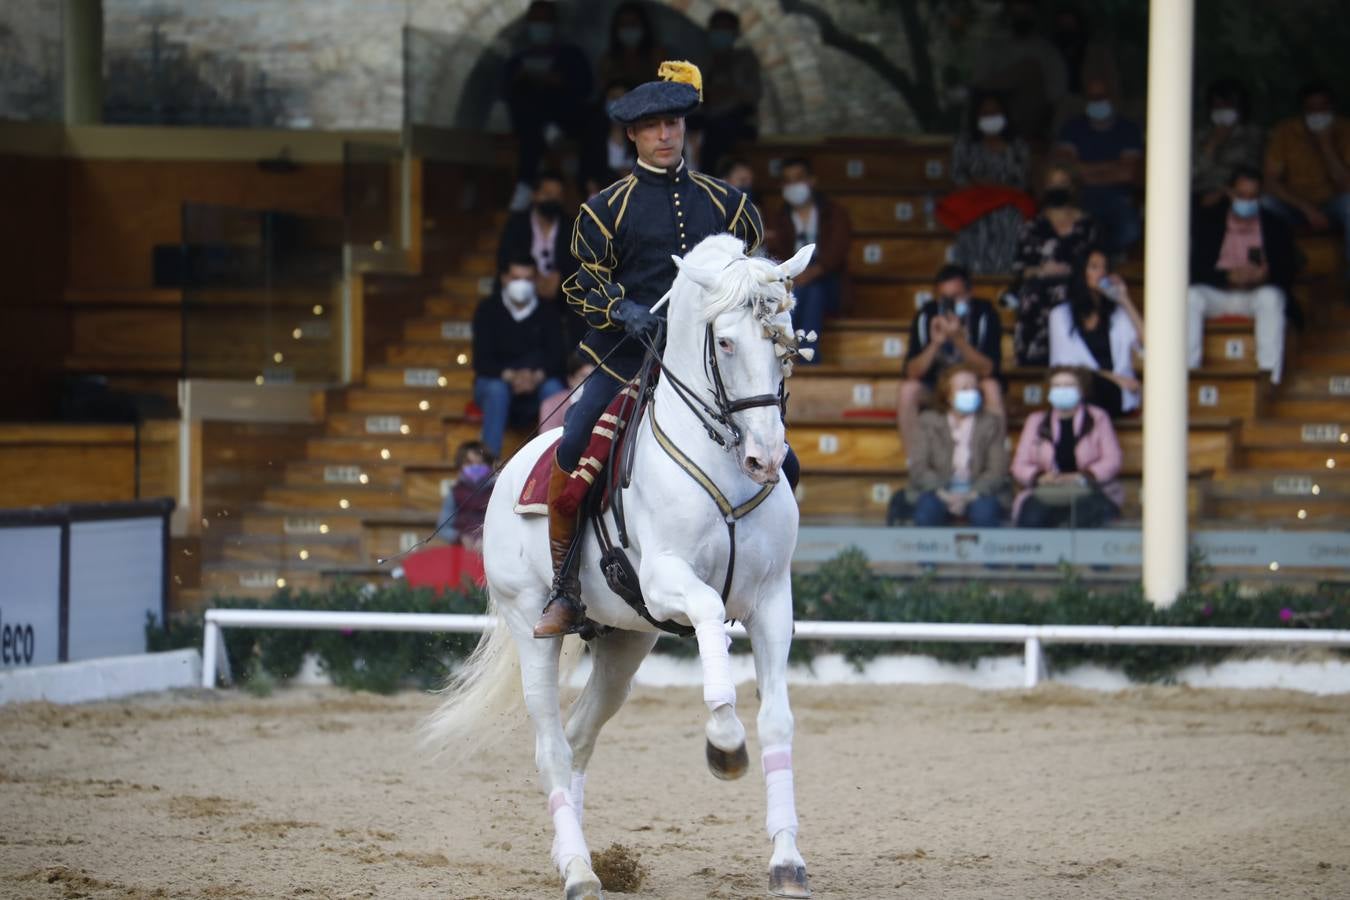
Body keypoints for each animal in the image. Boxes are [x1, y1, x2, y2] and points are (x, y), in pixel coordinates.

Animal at [421, 236, 815, 895]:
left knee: (579, 738)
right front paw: (723, 741)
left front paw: (787, 861)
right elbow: (709, 611)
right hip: (533, 626)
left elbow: (780, 723)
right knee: (551, 747)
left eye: (784, 339)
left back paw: (573, 855)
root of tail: (506, 473)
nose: (766, 457)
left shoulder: (770, 603)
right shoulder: (664, 581)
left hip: (625, 642)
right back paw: (580, 872)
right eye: (725, 341)